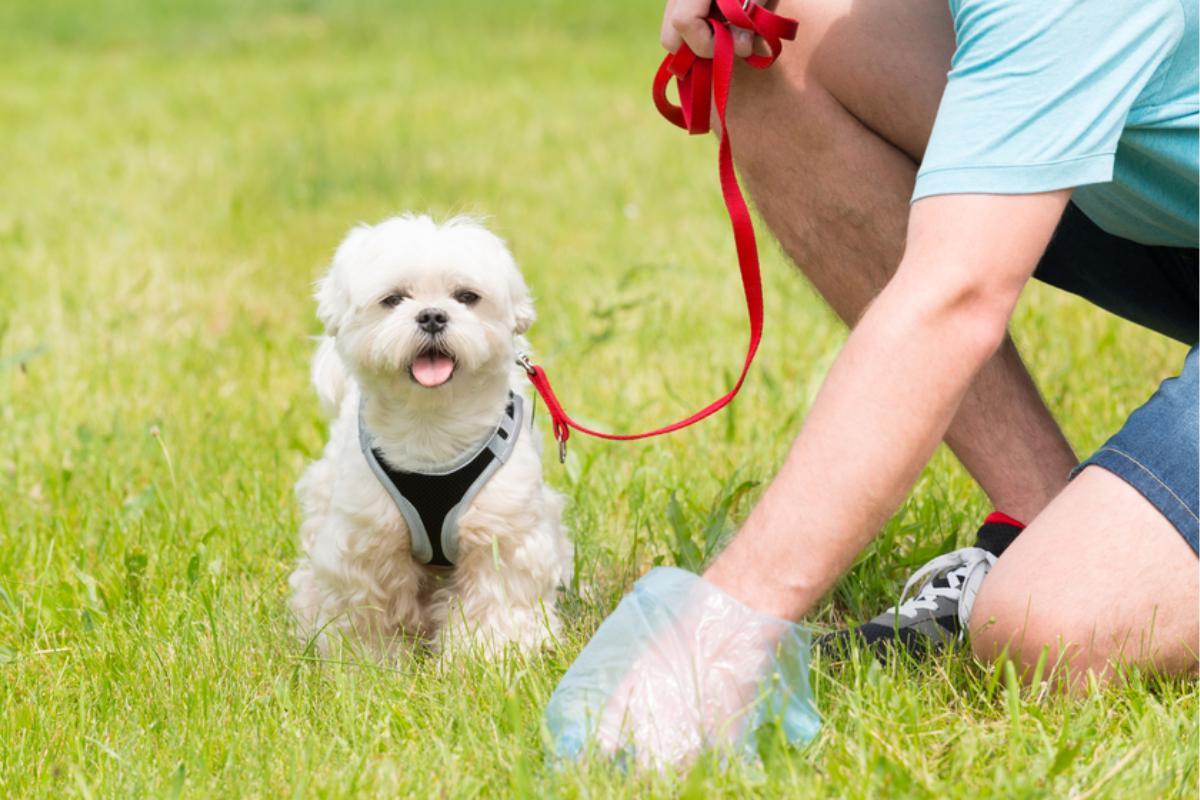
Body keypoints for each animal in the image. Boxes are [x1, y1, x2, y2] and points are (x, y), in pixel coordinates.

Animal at [289, 212, 571, 657]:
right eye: (394, 299)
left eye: (466, 296)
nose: (433, 315)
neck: (431, 428)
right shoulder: (367, 540)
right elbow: (368, 607)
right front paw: (370, 659)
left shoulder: (502, 531)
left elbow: (496, 599)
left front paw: (490, 655)